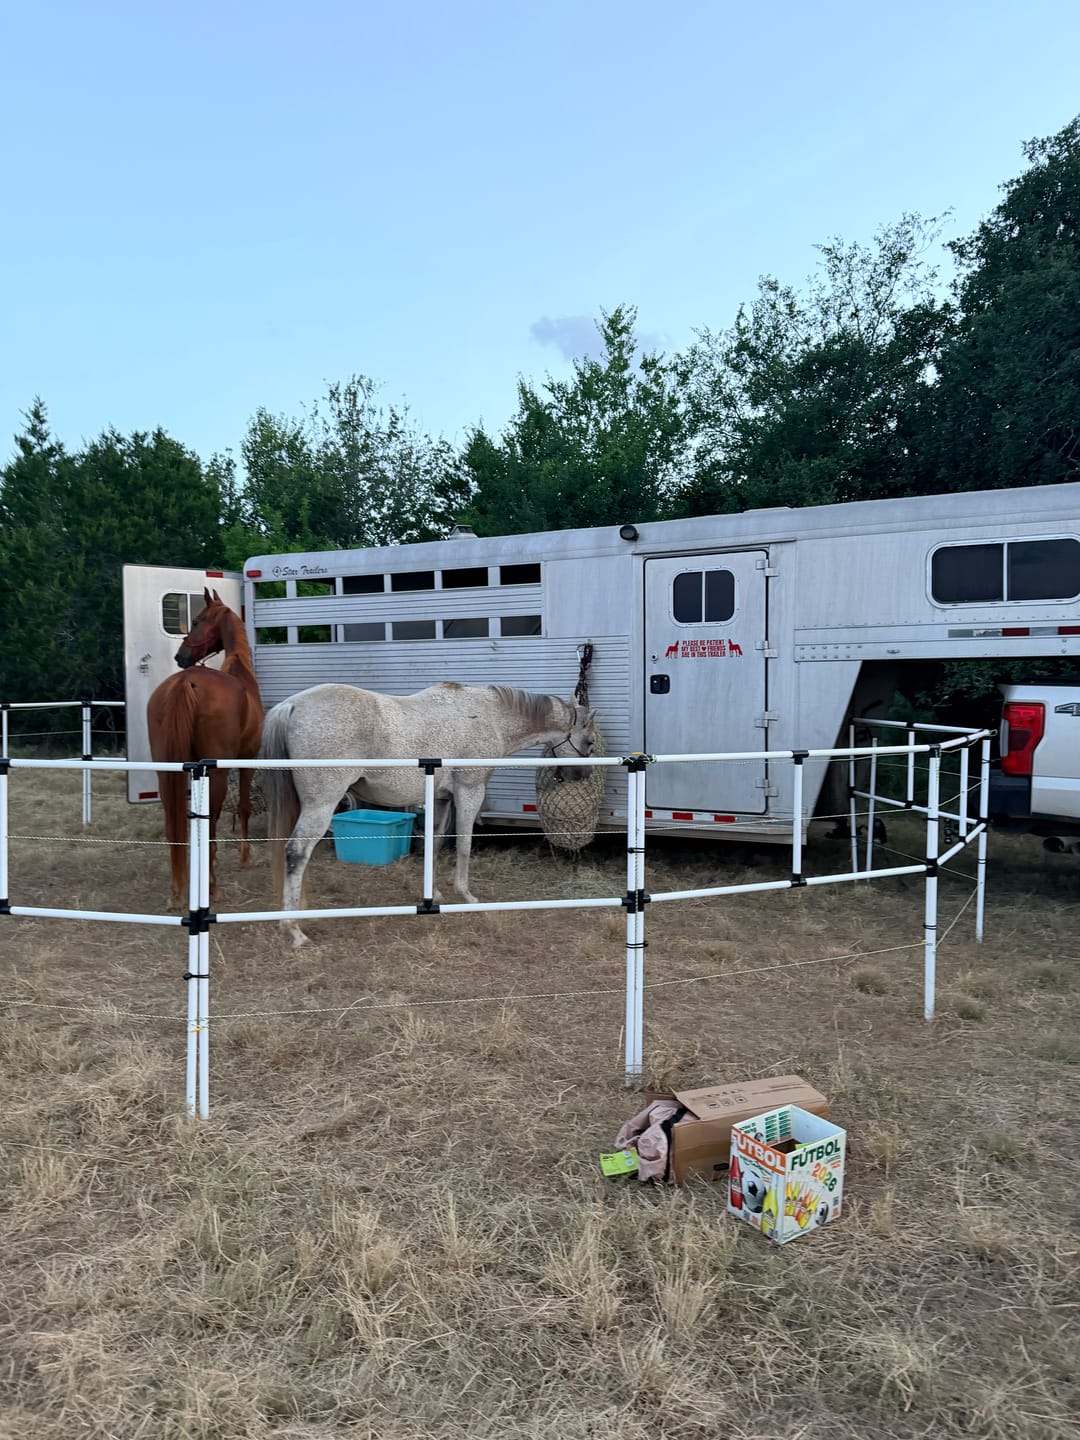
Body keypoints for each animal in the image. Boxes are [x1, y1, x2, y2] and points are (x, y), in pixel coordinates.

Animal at [147, 588, 265, 908]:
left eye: (198, 620)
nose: (181, 656)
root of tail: (185, 682)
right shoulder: (246, 760)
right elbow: (243, 808)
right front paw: (245, 857)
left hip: (165, 771)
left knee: (172, 820)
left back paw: (177, 889)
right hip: (217, 774)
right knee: (210, 820)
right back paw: (212, 885)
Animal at [260, 680, 597, 948]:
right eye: (590, 741)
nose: (581, 775)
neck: (490, 717)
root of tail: (291, 705)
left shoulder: (441, 799)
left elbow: (435, 844)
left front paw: (434, 894)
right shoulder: (469, 792)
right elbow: (464, 844)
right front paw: (466, 895)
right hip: (322, 804)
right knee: (296, 852)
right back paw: (294, 930)